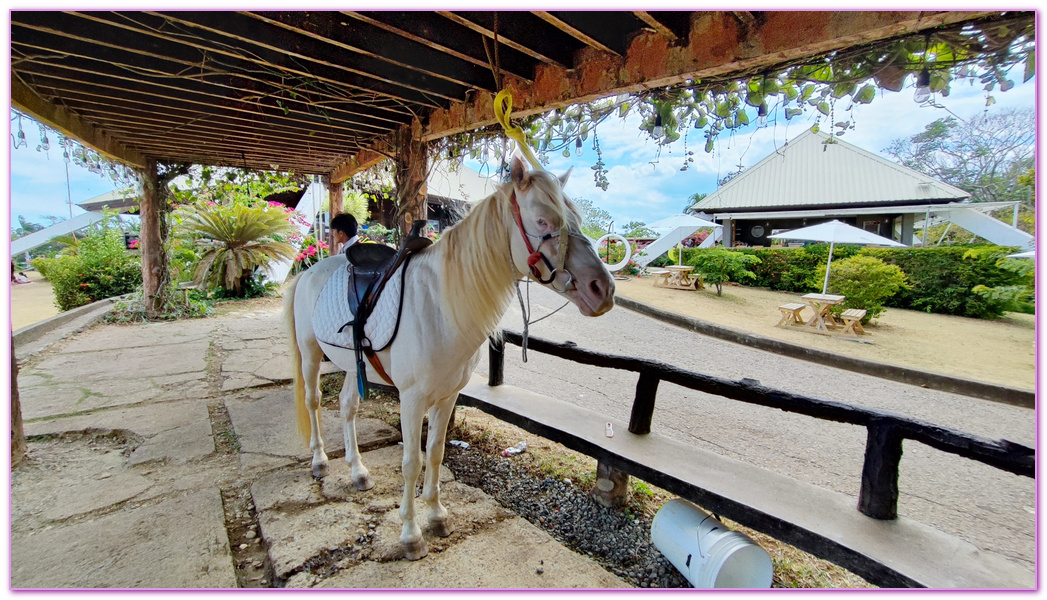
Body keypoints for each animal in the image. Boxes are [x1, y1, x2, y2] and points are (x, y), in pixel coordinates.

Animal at [282, 157, 615, 561]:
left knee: (347, 407)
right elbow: (411, 462)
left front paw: (437, 515)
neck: (439, 306)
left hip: (350, 364)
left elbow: (436, 453)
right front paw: (410, 534)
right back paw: (319, 461)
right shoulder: (411, 400)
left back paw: (358, 470)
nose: (604, 289)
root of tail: (309, 272)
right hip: (310, 355)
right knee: (313, 401)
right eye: (542, 221)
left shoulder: (447, 397)